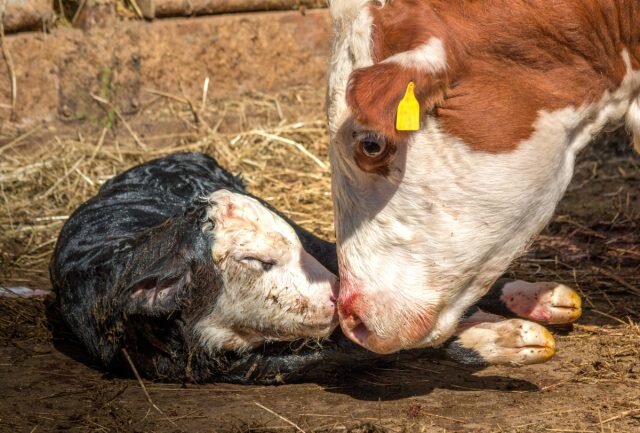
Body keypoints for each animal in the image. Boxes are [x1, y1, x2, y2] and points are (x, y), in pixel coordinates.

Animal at [50, 154, 580, 384]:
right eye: (254, 262)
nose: (335, 294)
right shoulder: (256, 366)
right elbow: (379, 348)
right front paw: (511, 341)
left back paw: (541, 297)